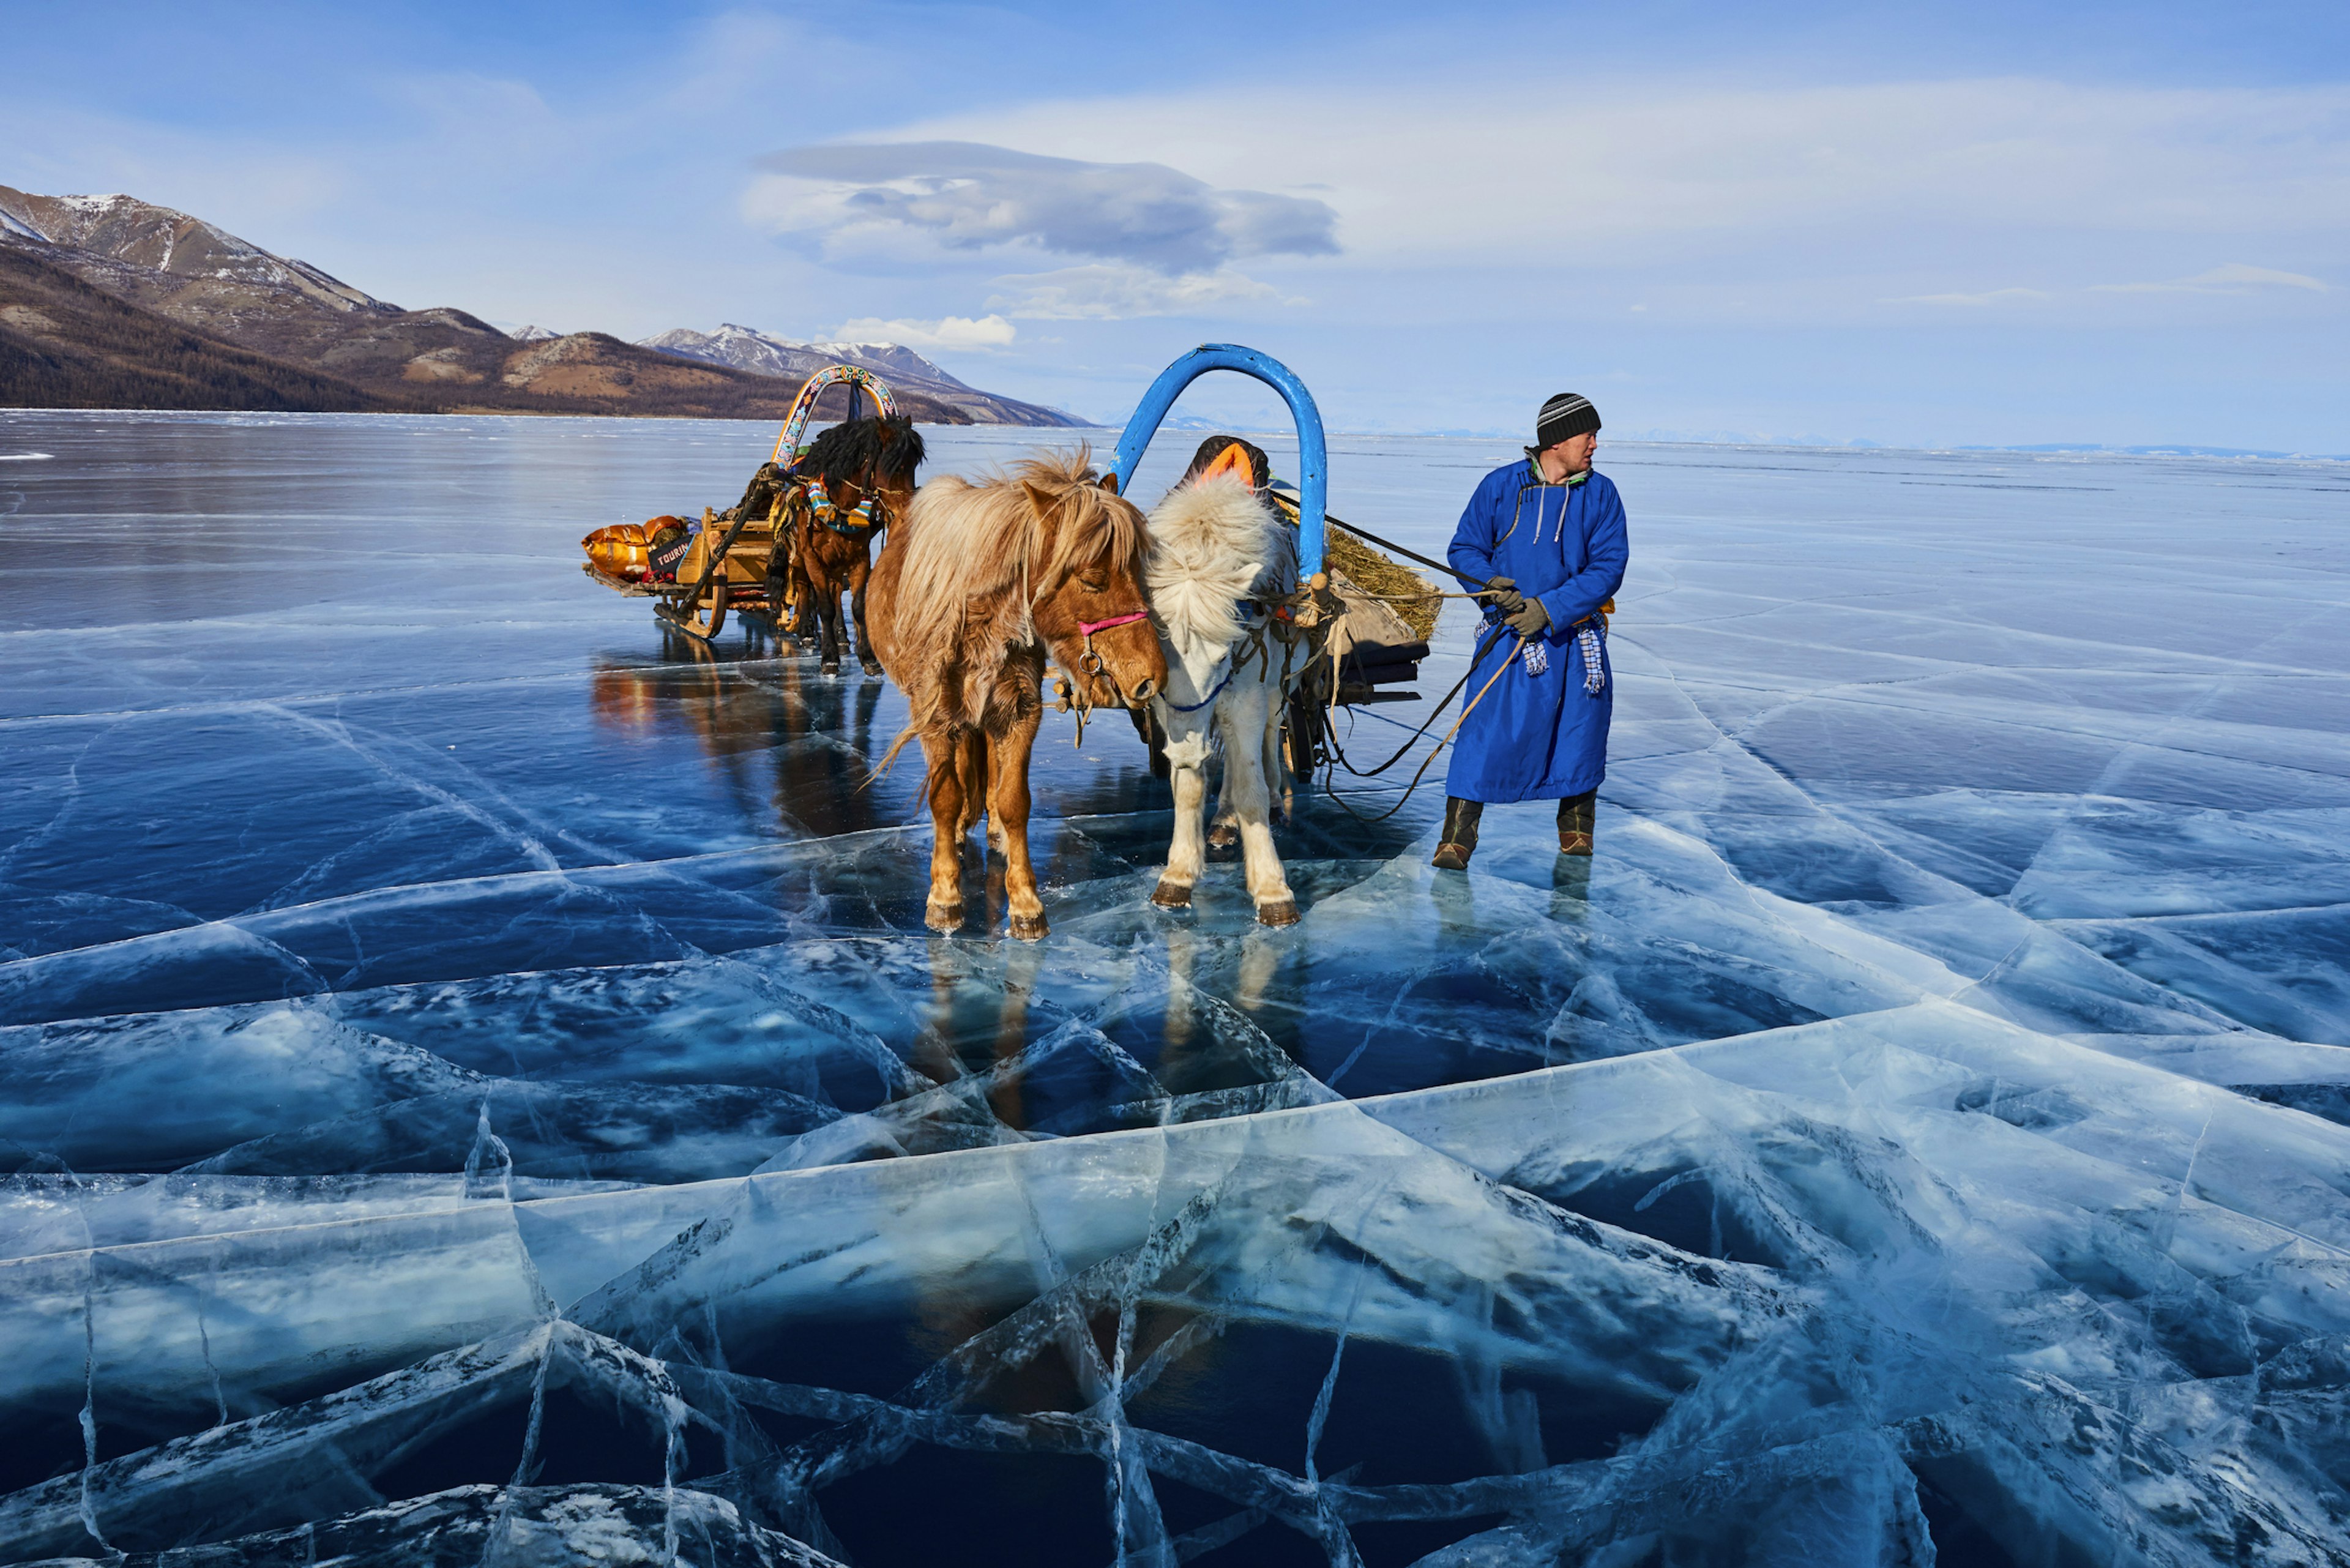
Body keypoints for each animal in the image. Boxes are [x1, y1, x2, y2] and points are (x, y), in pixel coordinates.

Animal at [1137, 472, 1307, 926]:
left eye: (1222, 655)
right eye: (1160, 660)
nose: (1186, 752)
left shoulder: (1246, 699)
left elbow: (1252, 790)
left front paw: (1273, 890)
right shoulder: (1173, 716)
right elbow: (1188, 788)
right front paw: (1178, 875)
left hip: (1276, 689)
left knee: (1266, 741)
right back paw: (1223, 821)